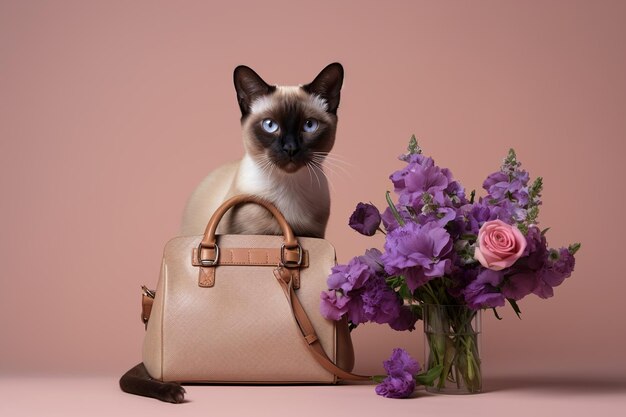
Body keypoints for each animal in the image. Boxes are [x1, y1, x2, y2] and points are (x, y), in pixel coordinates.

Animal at [119, 62, 344, 404]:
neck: (287, 195)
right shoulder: (252, 233)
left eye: (309, 125)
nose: (290, 149)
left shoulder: (313, 234)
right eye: (269, 126)